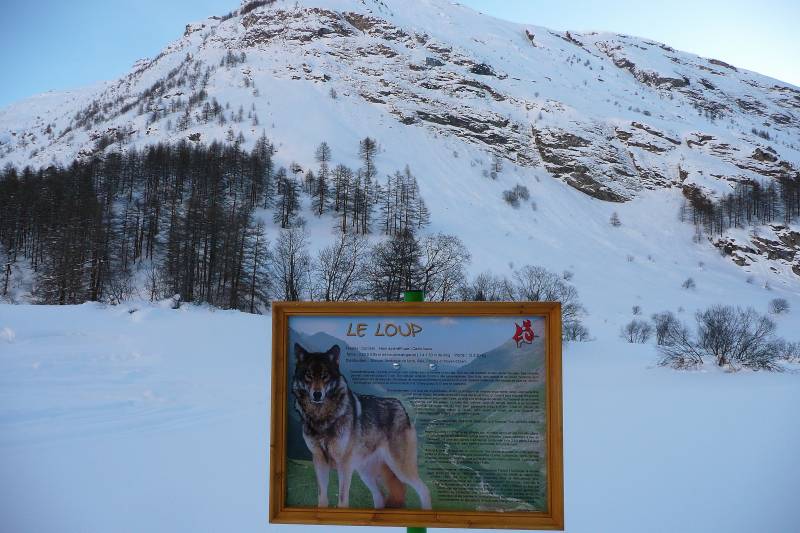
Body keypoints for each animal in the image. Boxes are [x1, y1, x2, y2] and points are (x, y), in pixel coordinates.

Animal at [291, 343, 431, 510]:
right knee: (380, 497)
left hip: (400, 469)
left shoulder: (344, 464)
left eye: (325, 376)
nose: (317, 394)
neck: (322, 418)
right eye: (309, 375)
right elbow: (322, 497)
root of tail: (401, 406)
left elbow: (343, 499)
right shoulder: (319, 460)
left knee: (424, 490)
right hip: (365, 473)